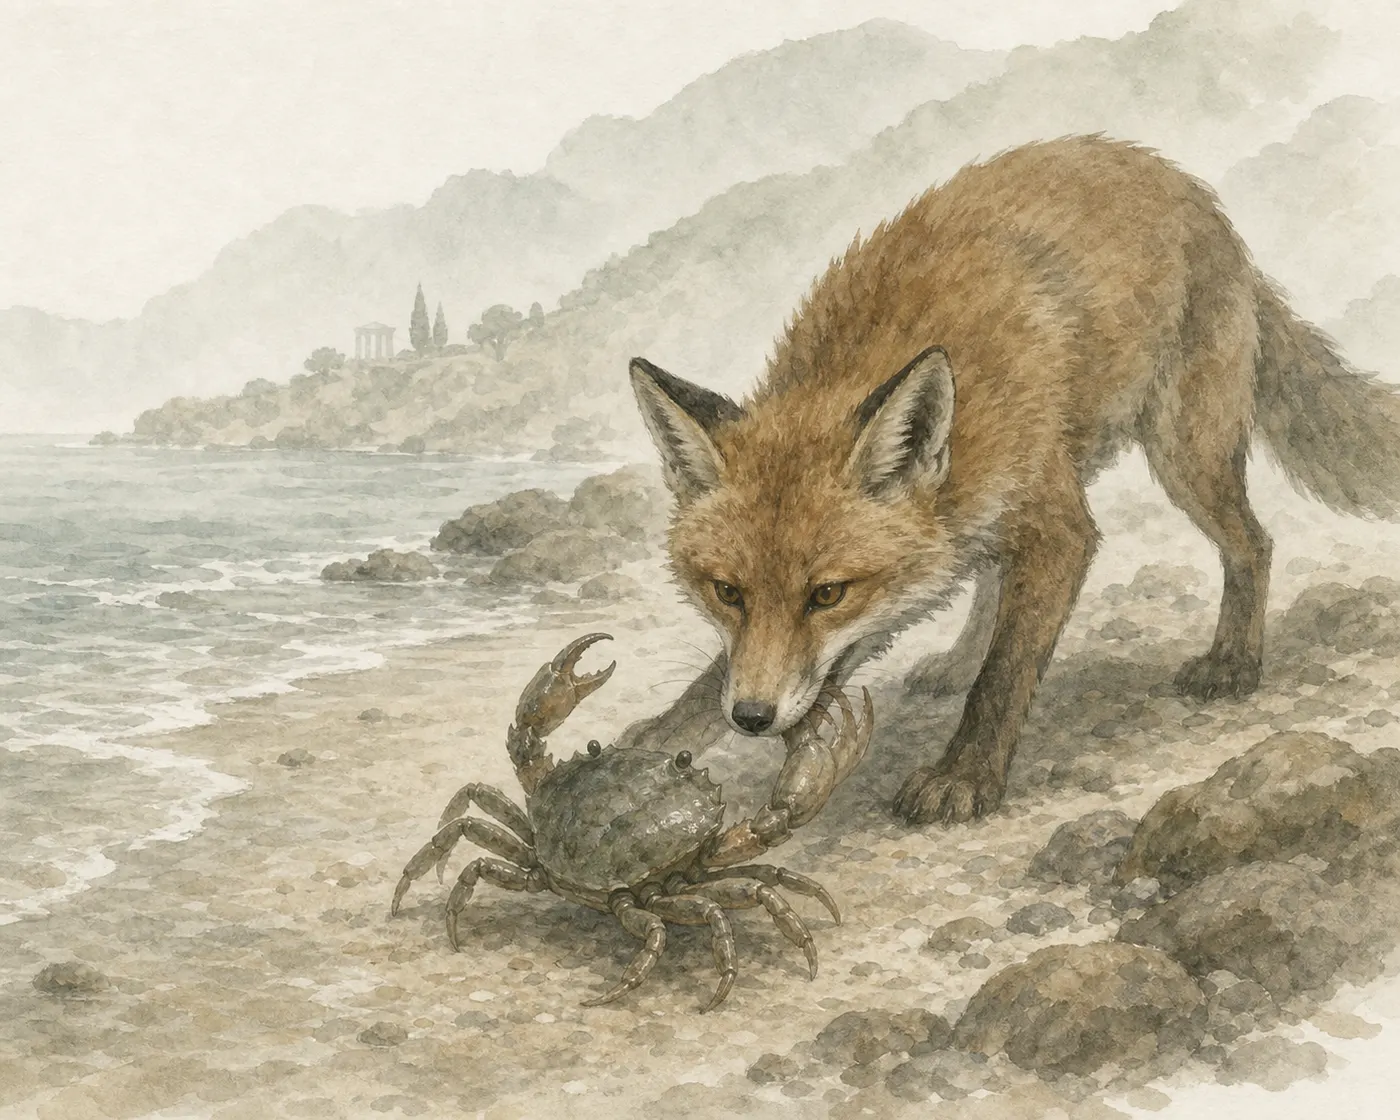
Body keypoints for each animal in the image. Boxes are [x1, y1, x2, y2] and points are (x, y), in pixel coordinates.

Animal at [622, 134, 1400, 826]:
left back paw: (1233, 660)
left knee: (1253, 543)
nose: (753, 717)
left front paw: (964, 776)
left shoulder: (1061, 530)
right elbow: (716, 679)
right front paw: (659, 742)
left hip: (1187, 456)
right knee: (994, 577)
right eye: (727, 593)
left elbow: (1003, 677)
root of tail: (1190, 190)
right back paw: (955, 659)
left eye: (828, 594)